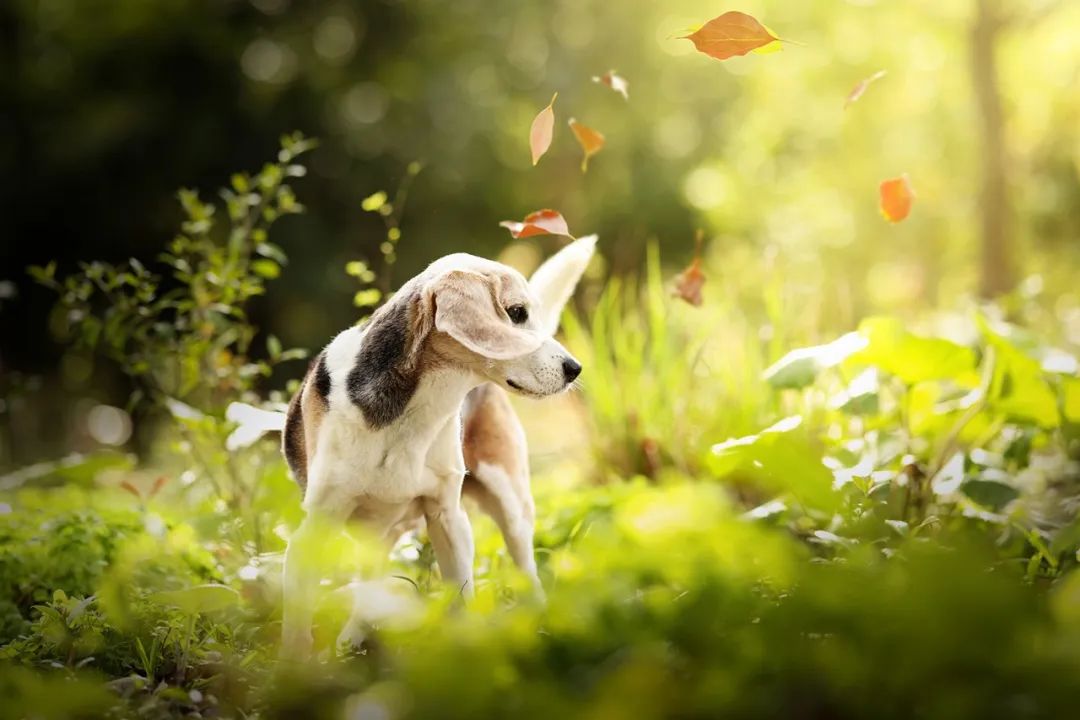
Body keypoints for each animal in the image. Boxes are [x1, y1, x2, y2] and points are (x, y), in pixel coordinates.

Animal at [274, 237, 596, 660]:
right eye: (516, 313)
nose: (575, 369)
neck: (414, 413)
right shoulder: (314, 528)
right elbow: (296, 624)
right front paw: (295, 665)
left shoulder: (448, 518)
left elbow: (461, 598)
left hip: (510, 502)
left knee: (528, 570)